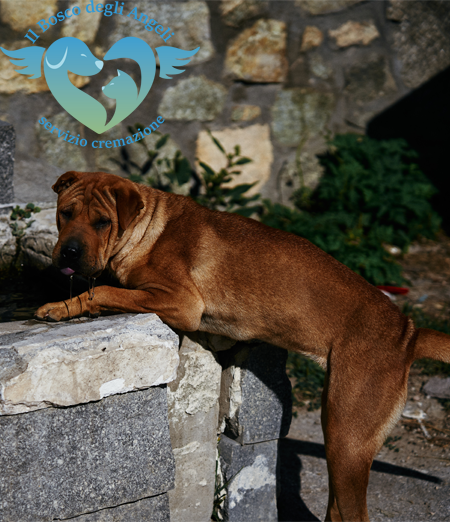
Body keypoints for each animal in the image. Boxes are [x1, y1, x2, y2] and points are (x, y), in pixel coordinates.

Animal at [37, 170, 450, 516]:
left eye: (102, 222)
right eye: (65, 213)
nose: (69, 252)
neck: (145, 229)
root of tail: (409, 333)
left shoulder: (180, 301)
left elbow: (104, 291)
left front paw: (62, 306)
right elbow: (102, 288)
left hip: (346, 438)